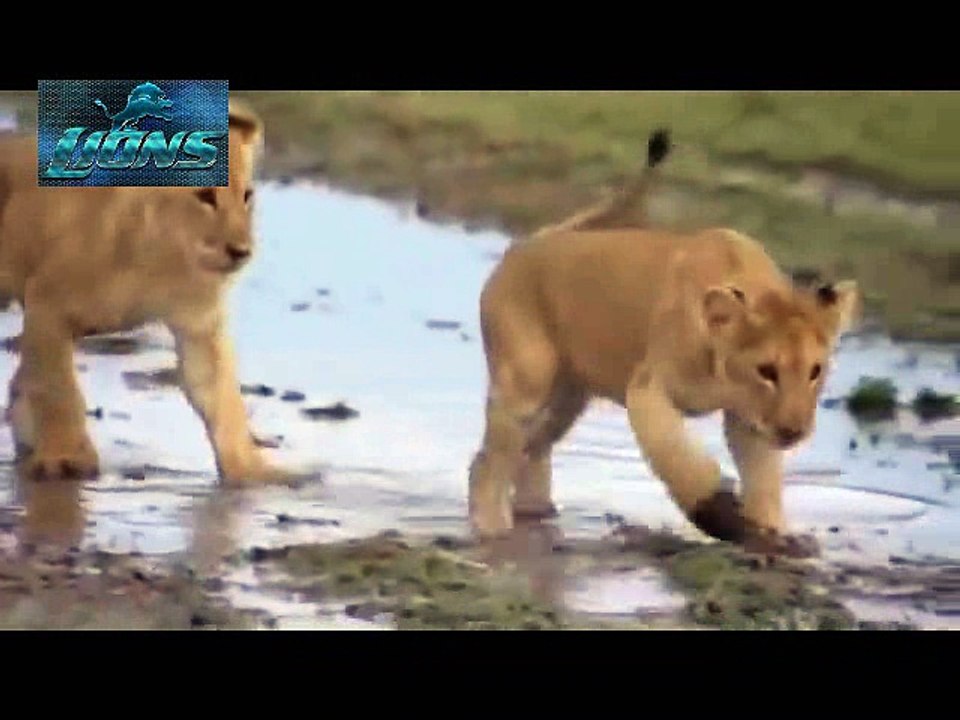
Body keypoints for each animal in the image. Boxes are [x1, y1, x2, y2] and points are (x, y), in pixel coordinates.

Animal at [0, 99, 290, 486]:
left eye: (247, 197)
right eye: (205, 196)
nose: (241, 251)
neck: (165, 260)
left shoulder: (201, 327)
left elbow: (224, 401)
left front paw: (253, 471)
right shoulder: (47, 303)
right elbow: (59, 389)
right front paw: (66, 458)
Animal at [469, 129, 859, 557]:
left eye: (815, 371)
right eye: (767, 371)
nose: (793, 431)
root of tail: (529, 242)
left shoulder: (751, 420)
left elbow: (764, 480)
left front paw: (772, 535)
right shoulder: (648, 390)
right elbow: (677, 457)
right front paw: (722, 514)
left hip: (569, 397)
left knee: (532, 449)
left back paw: (537, 513)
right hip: (526, 381)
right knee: (488, 460)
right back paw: (492, 530)